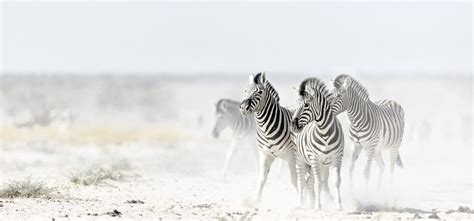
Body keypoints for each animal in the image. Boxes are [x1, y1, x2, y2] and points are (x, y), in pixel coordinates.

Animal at [241, 72, 300, 205]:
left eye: (259, 92)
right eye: (245, 90)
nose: (243, 107)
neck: (266, 129)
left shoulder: (291, 156)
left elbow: (294, 180)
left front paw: (303, 200)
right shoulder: (265, 154)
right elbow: (261, 179)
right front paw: (256, 201)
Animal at [288, 77, 344, 209]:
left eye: (306, 105)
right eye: (297, 104)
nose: (292, 125)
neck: (325, 133)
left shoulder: (337, 157)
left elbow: (336, 181)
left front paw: (338, 205)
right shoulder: (314, 158)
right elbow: (318, 183)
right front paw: (318, 206)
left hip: (322, 164)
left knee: (309, 181)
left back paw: (311, 202)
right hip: (300, 158)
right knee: (301, 181)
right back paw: (300, 204)